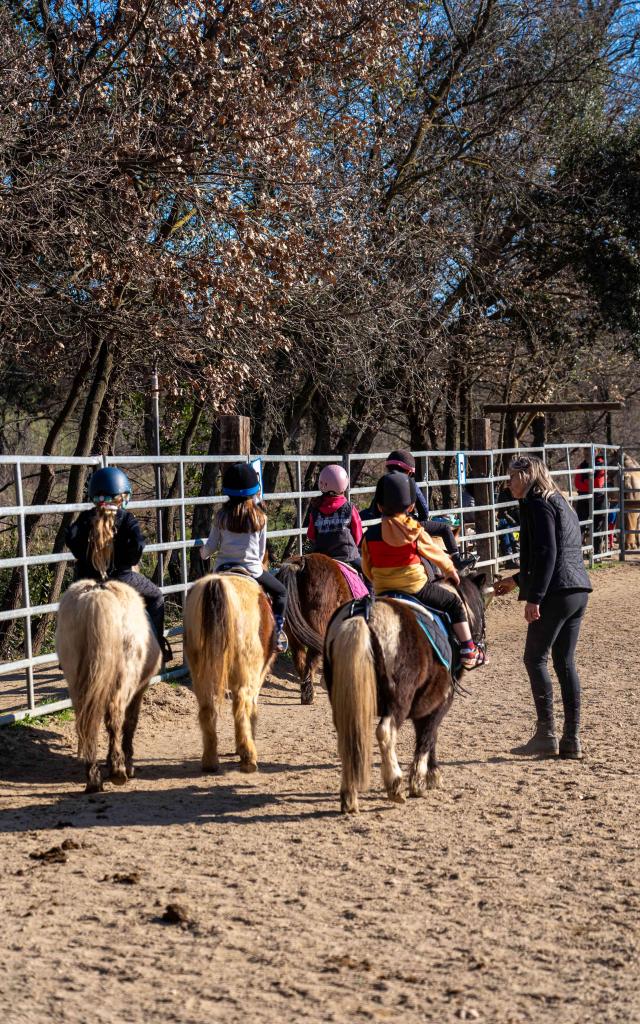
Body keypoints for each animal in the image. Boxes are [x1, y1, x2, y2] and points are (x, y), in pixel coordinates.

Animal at [55, 585, 161, 790]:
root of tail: (96, 595)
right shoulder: (139, 689)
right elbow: (130, 723)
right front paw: (127, 763)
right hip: (123, 681)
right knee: (115, 718)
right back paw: (118, 770)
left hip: (77, 682)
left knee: (86, 723)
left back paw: (93, 777)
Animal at [183, 573, 276, 770]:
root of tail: (216, 583)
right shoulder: (258, 675)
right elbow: (252, 707)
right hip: (246, 672)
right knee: (241, 704)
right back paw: (248, 756)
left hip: (200, 674)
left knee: (207, 708)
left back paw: (210, 761)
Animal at [278, 552, 352, 704]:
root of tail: (300, 563)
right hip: (318, 626)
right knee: (312, 657)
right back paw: (309, 695)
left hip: (294, 631)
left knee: (300, 658)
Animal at [323, 573, 489, 811]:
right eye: (483, 607)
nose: (480, 647)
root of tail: (364, 615)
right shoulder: (440, 701)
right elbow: (428, 736)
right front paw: (421, 781)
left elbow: (429, 736)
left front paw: (429, 775)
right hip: (398, 701)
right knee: (385, 732)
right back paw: (395, 785)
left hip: (344, 701)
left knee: (348, 738)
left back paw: (349, 796)